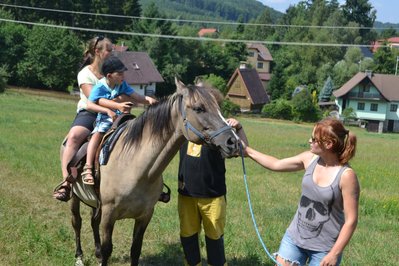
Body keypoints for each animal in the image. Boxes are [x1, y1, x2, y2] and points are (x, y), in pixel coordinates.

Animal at [62, 77, 241, 266]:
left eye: (218, 108)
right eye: (199, 108)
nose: (233, 142)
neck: (135, 168)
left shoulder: (145, 216)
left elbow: (135, 250)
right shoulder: (109, 214)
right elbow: (106, 250)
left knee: (92, 220)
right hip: (75, 197)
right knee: (77, 223)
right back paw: (79, 256)